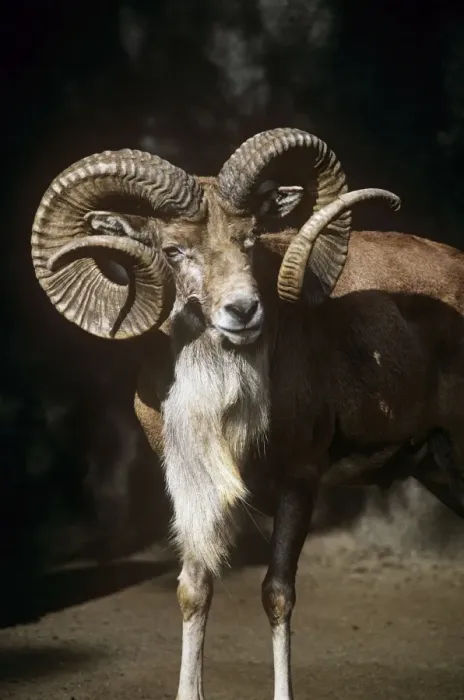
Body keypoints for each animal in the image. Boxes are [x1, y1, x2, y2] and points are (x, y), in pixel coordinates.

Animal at [31, 128, 464, 700]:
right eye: (174, 250)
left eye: (252, 239)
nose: (243, 311)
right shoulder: (191, 485)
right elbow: (194, 589)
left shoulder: (299, 481)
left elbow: (277, 594)